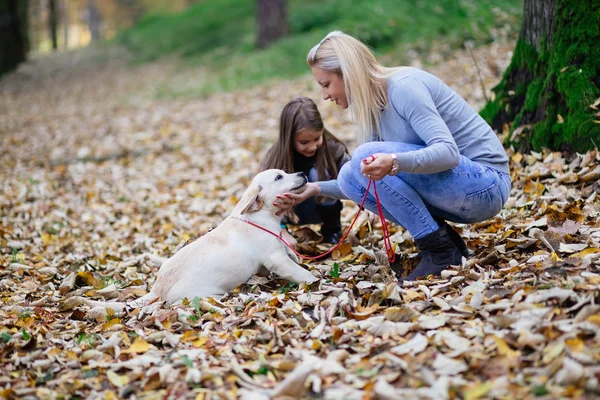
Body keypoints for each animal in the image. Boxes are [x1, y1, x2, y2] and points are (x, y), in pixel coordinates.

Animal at [65, 169, 318, 312]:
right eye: (279, 177)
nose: (302, 173)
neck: (260, 217)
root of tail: (157, 289)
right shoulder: (275, 259)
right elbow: (299, 272)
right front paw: (316, 282)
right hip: (209, 294)